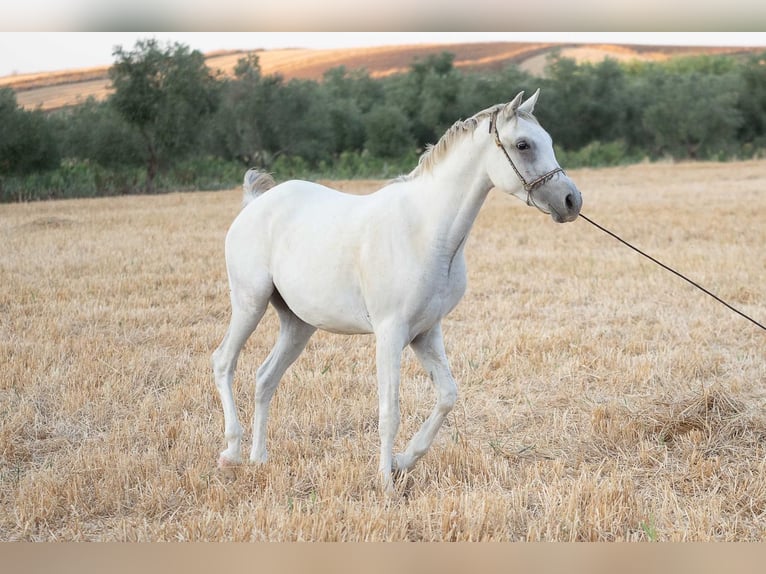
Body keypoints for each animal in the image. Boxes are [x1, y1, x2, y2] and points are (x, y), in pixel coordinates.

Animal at [210, 90, 584, 496]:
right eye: (523, 144)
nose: (571, 201)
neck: (425, 230)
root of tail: (254, 205)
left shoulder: (426, 333)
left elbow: (447, 396)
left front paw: (403, 463)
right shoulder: (390, 334)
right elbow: (390, 410)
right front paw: (386, 482)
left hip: (298, 325)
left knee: (265, 378)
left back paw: (259, 459)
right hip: (249, 304)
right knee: (224, 362)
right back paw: (231, 452)